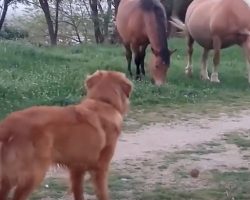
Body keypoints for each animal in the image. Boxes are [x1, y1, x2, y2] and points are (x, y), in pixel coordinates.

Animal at [0, 70, 133, 200]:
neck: (103, 102)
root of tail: (10, 123)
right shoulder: (101, 167)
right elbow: (103, 193)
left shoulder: (77, 168)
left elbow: (79, 193)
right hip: (34, 173)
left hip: (8, 177)